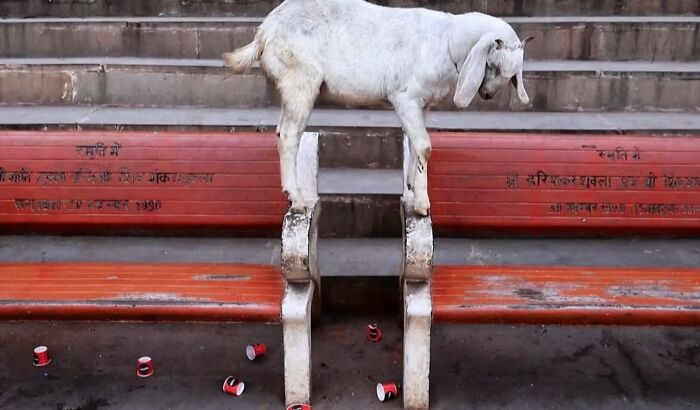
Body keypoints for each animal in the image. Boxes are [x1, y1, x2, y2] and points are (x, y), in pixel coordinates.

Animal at [223, 0, 533, 216]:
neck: (447, 42)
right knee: (289, 136)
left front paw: (411, 186)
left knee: (280, 131)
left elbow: (415, 141)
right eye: (492, 65)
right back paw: (297, 200)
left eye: (512, 76)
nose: (488, 95)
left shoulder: (421, 105)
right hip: (299, 79)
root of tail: (264, 32)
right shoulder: (405, 97)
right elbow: (424, 146)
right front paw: (422, 205)